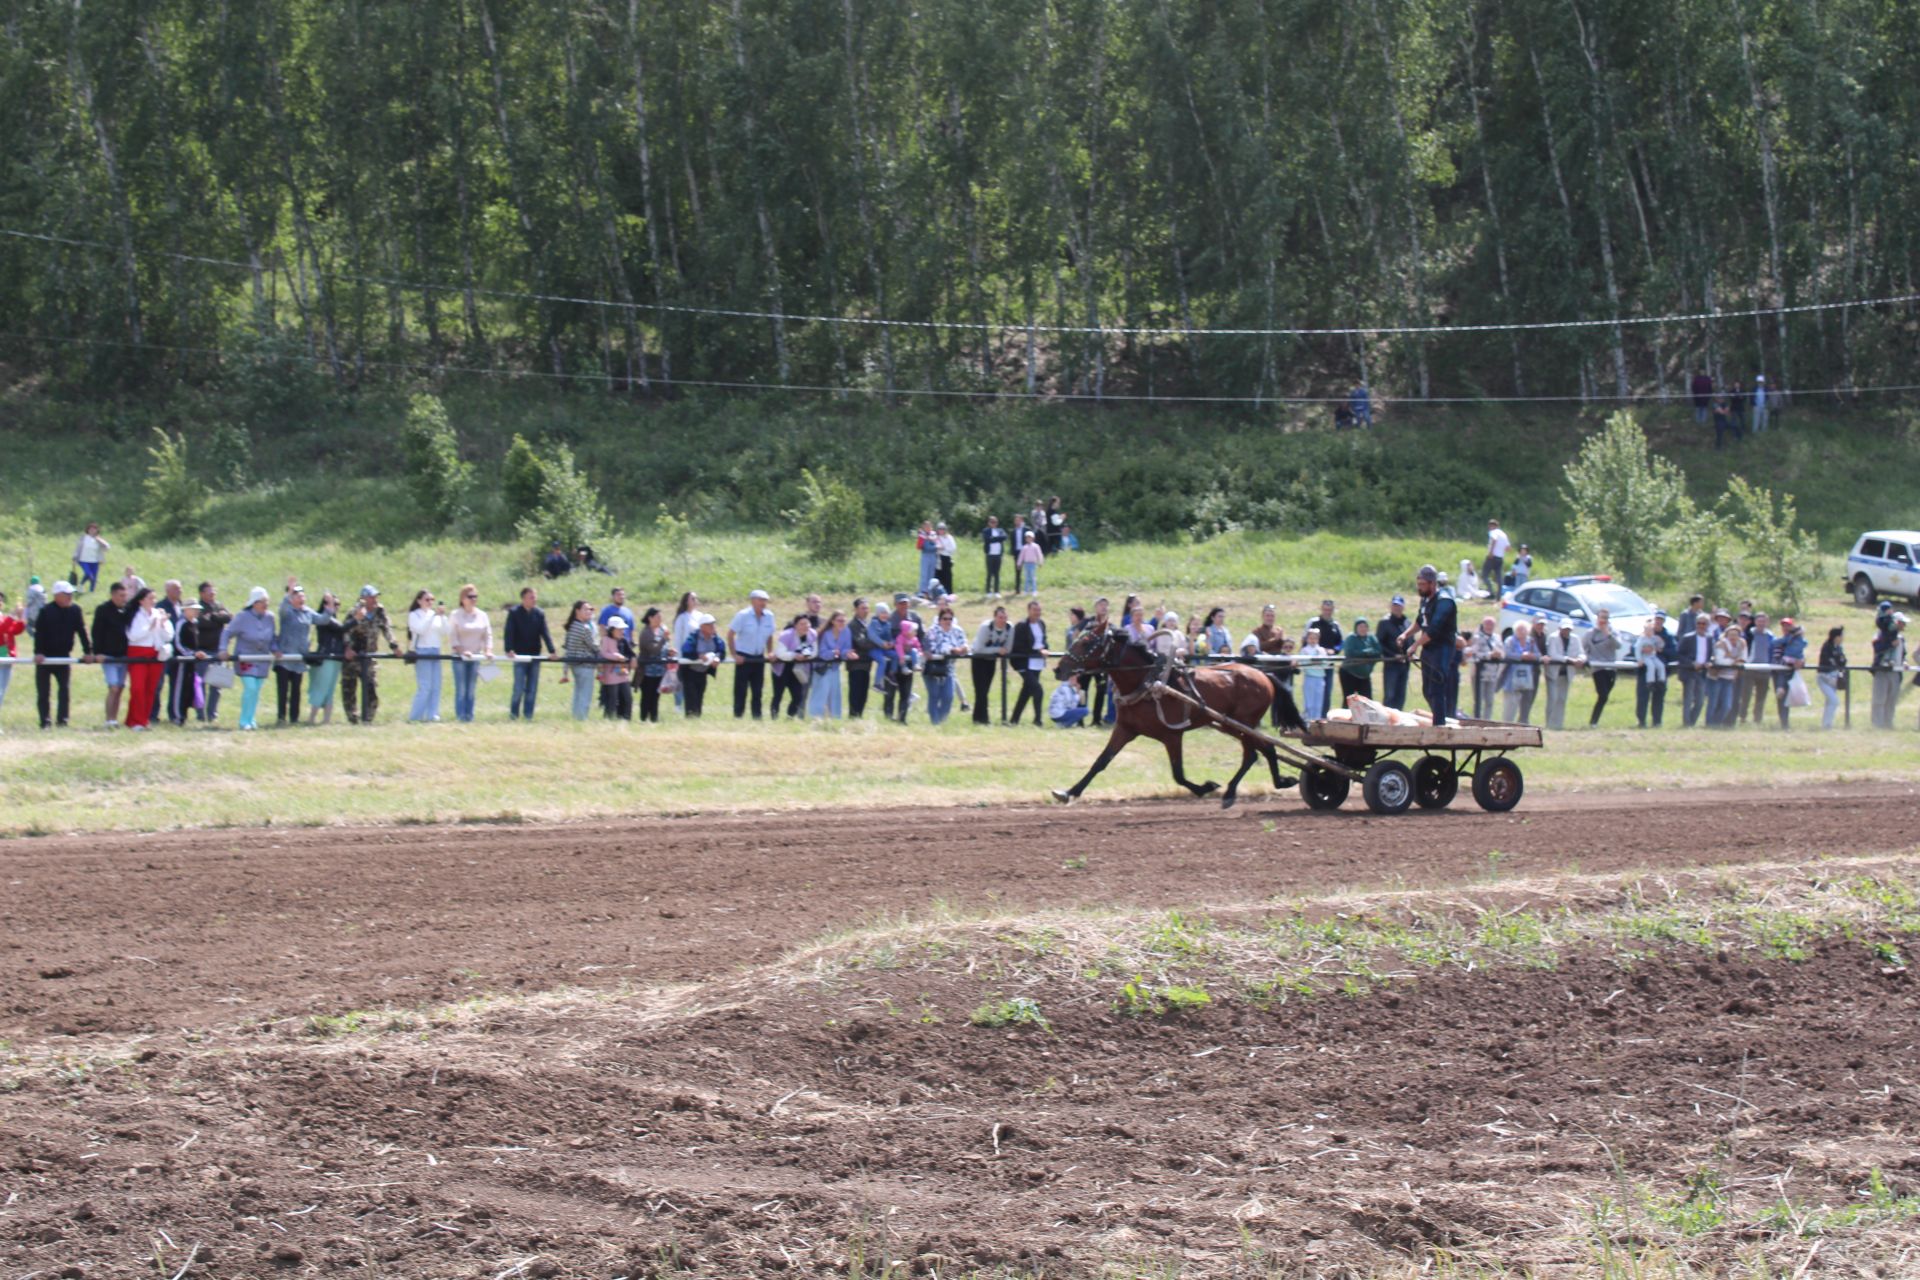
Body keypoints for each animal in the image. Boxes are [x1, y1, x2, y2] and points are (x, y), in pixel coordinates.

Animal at [1052, 629, 1305, 809]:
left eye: (1086, 643)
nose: (1058, 669)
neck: (1147, 682)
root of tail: (1262, 673)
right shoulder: (1125, 729)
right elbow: (1100, 762)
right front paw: (1068, 792)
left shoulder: (1172, 735)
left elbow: (1178, 774)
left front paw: (1205, 787)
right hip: (1231, 724)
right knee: (1266, 749)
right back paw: (1280, 781)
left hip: (1244, 722)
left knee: (1252, 754)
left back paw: (1231, 792)